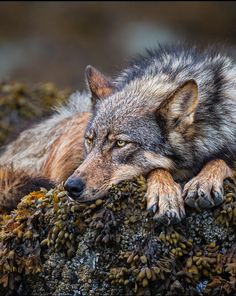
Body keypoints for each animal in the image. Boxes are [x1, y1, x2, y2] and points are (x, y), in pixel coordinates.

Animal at [0, 45, 236, 223]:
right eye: (90, 140)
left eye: (120, 143)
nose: (71, 186)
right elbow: (157, 169)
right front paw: (165, 194)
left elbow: (221, 160)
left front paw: (203, 181)